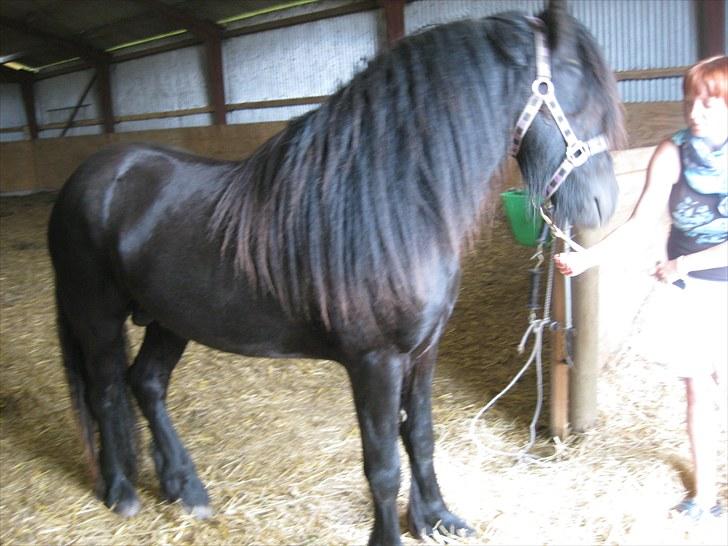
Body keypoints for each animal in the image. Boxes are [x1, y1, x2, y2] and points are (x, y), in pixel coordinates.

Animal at [47, 1, 624, 544]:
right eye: (582, 97)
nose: (604, 206)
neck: (391, 206)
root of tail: (88, 177)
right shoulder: (375, 363)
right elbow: (383, 464)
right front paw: (392, 535)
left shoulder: (424, 352)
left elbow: (421, 437)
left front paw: (436, 519)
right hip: (97, 319)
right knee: (105, 392)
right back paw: (121, 491)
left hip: (171, 320)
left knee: (145, 384)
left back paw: (184, 488)